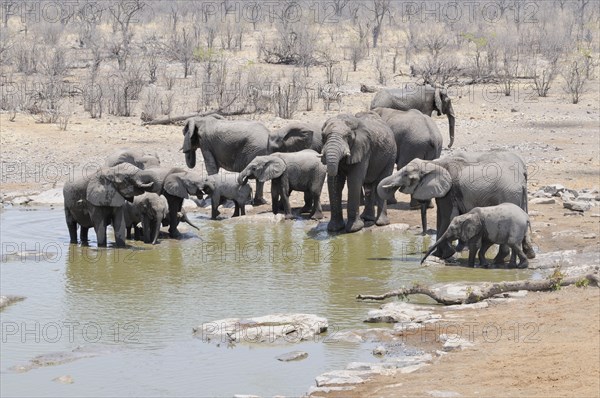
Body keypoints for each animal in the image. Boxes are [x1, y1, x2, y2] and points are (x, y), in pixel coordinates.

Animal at [372, 107, 442, 235]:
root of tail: (433, 136)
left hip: (413, 145)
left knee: (403, 165)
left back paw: (415, 206)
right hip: (432, 147)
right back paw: (427, 206)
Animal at [376, 151, 536, 260]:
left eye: (406, 175)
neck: (434, 163)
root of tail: (522, 180)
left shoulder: (449, 189)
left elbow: (446, 217)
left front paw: (445, 254)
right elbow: (442, 217)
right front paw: (440, 254)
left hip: (508, 195)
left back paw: (499, 260)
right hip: (518, 197)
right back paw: (529, 255)